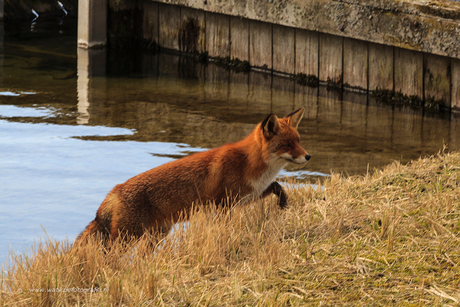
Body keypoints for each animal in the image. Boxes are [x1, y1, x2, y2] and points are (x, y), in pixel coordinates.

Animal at [76, 109, 310, 244]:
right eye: (287, 145)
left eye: (298, 141)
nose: (308, 156)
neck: (249, 163)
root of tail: (114, 191)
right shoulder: (223, 205)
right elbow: (224, 228)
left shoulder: (249, 196)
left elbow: (278, 186)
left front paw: (284, 205)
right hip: (127, 238)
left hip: (156, 235)